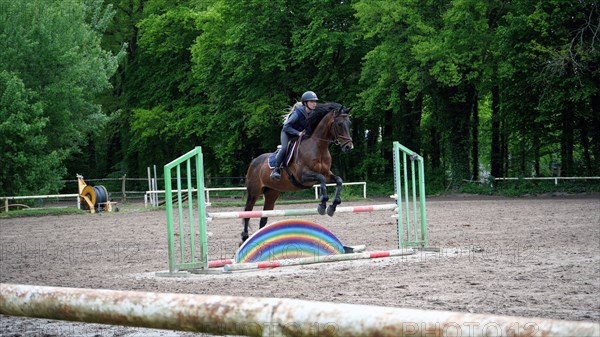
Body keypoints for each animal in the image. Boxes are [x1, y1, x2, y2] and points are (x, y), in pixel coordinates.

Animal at [240, 102, 352, 242]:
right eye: (339, 124)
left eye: (349, 124)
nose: (349, 147)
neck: (318, 147)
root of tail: (254, 161)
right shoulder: (303, 177)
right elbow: (320, 179)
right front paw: (322, 205)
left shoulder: (327, 175)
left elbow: (338, 180)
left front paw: (332, 206)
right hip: (254, 192)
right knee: (247, 212)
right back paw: (244, 237)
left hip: (272, 193)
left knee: (263, 218)